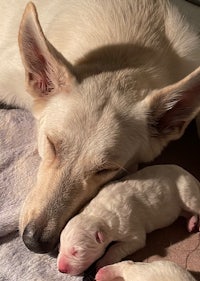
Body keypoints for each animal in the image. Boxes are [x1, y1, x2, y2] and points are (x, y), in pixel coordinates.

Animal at [56, 163, 200, 274]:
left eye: (76, 252)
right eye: (60, 248)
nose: (61, 270)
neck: (97, 214)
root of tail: (191, 176)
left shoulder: (130, 227)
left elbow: (118, 247)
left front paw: (103, 262)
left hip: (187, 192)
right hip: (180, 206)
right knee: (186, 213)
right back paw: (191, 223)